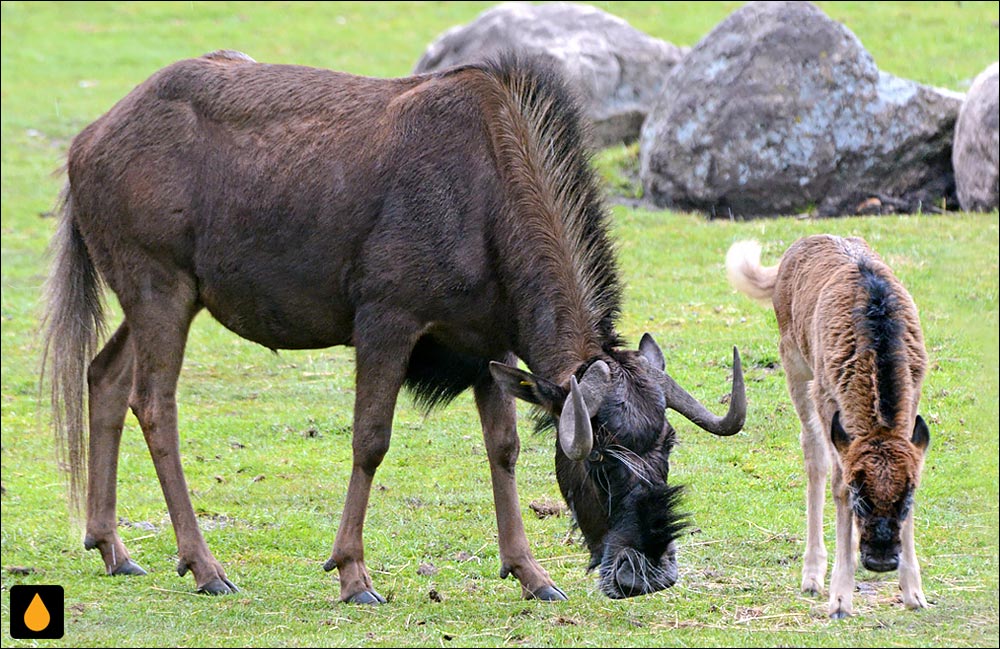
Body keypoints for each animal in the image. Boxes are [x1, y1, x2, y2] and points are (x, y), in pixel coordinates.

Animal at [728, 234, 928, 616]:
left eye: (906, 499)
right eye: (859, 497)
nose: (881, 560)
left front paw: (915, 593)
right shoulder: (825, 396)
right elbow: (836, 482)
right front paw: (839, 598)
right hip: (795, 366)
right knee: (814, 456)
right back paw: (812, 575)